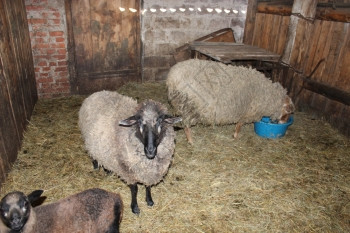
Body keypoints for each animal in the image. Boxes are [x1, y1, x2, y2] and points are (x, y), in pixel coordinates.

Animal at [167, 58, 296, 144]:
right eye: (288, 111)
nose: (284, 123)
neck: (269, 96)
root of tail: (172, 78)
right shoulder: (246, 112)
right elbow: (239, 124)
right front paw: (236, 136)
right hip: (190, 104)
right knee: (186, 125)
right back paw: (191, 141)